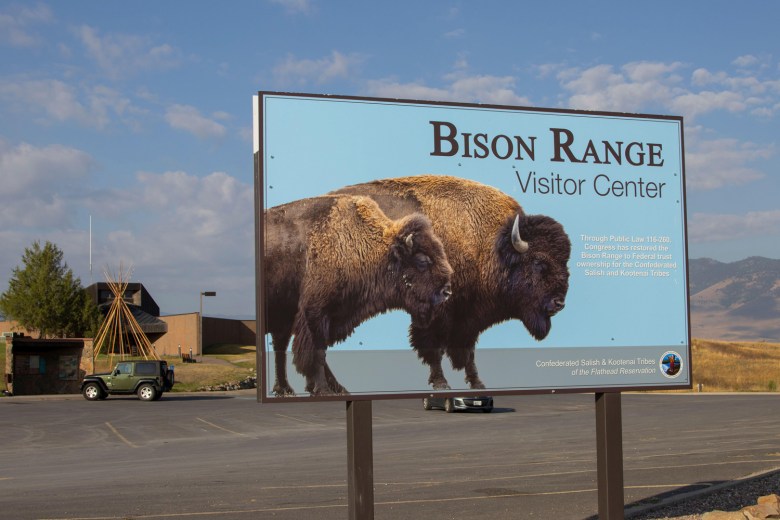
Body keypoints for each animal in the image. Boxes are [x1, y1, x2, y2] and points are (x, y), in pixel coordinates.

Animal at [266, 194, 454, 394]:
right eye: (422, 261)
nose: (446, 291)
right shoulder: (315, 314)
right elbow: (316, 354)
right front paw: (323, 389)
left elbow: (319, 354)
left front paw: (337, 388)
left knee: (279, 347)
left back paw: (284, 389)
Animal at [332, 175, 568, 390]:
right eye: (538, 262)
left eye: (565, 261)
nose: (559, 303)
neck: (491, 246)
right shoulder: (438, 311)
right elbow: (433, 347)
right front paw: (441, 383)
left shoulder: (469, 318)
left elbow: (467, 351)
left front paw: (477, 383)